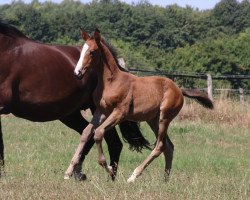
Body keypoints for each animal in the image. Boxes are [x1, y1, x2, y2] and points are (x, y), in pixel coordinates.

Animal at [0, 20, 150, 180]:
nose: (78, 72)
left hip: (100, 111)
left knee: (113, 142)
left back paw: (109, 177)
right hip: (70, 114)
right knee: (92, 136)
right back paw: (78, 173)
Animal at [65, 29, 214, 183]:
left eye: (92, 51)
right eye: (82, 50)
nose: (77, 72)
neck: (112, 81)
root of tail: (179, 89)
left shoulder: (120, 113)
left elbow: (98, 133)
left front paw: (110, 169)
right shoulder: (101, 111)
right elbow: (86, 133)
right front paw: (68, 171)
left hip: (164, 118)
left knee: (160, 146)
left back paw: (133, 176)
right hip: (153, 120)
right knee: (169, 147)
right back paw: (165, 180)